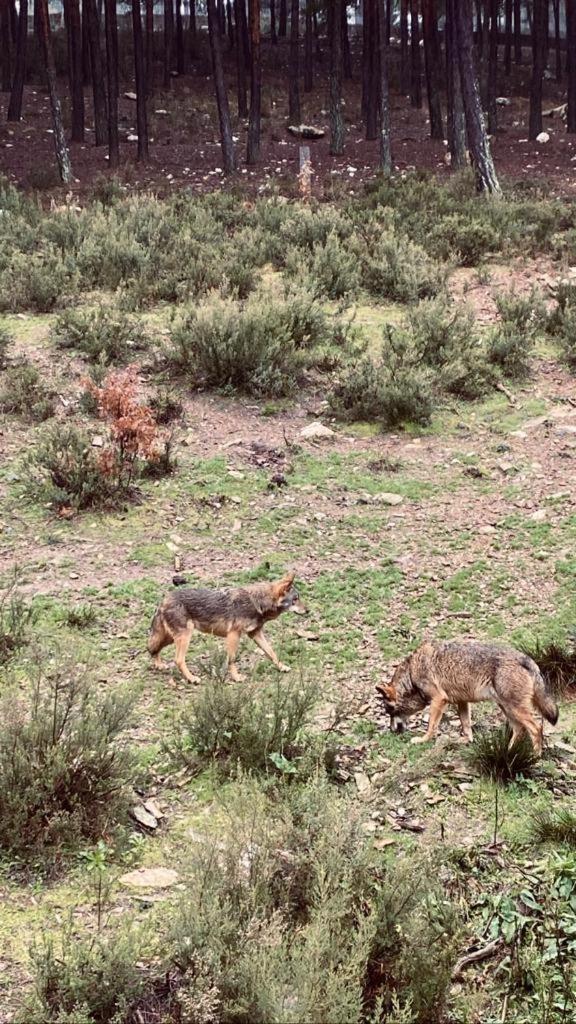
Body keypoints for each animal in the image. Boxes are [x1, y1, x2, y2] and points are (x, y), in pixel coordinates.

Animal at [147, 573, 305, 684]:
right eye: (295, 599)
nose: (308, 610)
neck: (257, 602)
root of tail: (163, 599)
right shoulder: (234, 635)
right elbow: (232, 659)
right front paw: (236, 677)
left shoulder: (255, 634)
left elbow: (272, 653)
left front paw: (282, 667)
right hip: (185, 637)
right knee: (178, 660)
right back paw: (192, 679)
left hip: (170, 638)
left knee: (153, 649)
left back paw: (159, 665)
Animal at [373, 638, 557, 753]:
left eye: (389, 710)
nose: (391, 731)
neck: (412, 672)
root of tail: (528, 660)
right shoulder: (461, 701)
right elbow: (466, 725)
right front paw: (466, 740)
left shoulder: (439, 699)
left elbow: (432, 726)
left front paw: (423, 740)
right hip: (507, 708)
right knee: (519, 730)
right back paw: (508, 754)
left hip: (514, 708)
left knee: (536, 729)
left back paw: (534, 757)